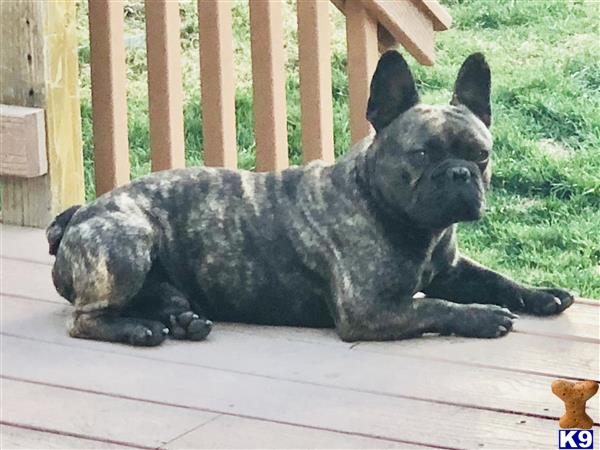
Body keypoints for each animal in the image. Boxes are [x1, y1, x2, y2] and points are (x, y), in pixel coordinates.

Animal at [45, 51, 572, 346]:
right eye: (422, 154)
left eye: (481, 155)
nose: (460, 174)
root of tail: (78, 215)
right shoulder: (371, 310)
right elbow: (434, 308)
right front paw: (482, 317)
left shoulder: (451, 269)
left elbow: (495, 278)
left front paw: (541, 294)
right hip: (128, 245)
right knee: (85, 318)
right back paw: (137, 330)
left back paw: (184, 320)